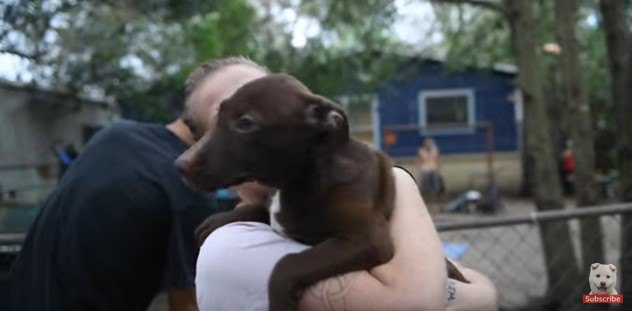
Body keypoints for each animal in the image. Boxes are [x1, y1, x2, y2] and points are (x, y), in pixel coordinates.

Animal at [175, 73, 466, 311]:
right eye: (218, 115)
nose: (180, 165)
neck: (304, 174)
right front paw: (217, 220)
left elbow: (288, 262)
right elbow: (258, 208)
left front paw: (279, 303)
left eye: (246, 123)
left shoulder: (369, 236)